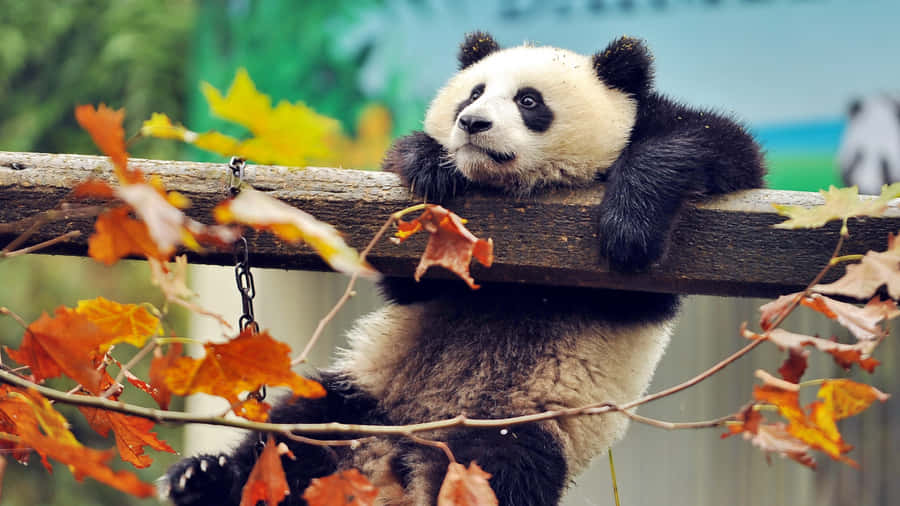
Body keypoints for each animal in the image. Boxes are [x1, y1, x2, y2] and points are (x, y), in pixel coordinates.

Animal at [164, 31, 764, 506]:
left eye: (529, 100)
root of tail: (395, 461)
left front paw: (630, 224)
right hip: (366, 396)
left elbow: (716, 149)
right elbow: (409, 278)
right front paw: (430, 163)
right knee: (296, 434)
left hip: (521, 425)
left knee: (501, 470)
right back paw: (205, 479)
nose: (471, 122)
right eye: (472, 93)